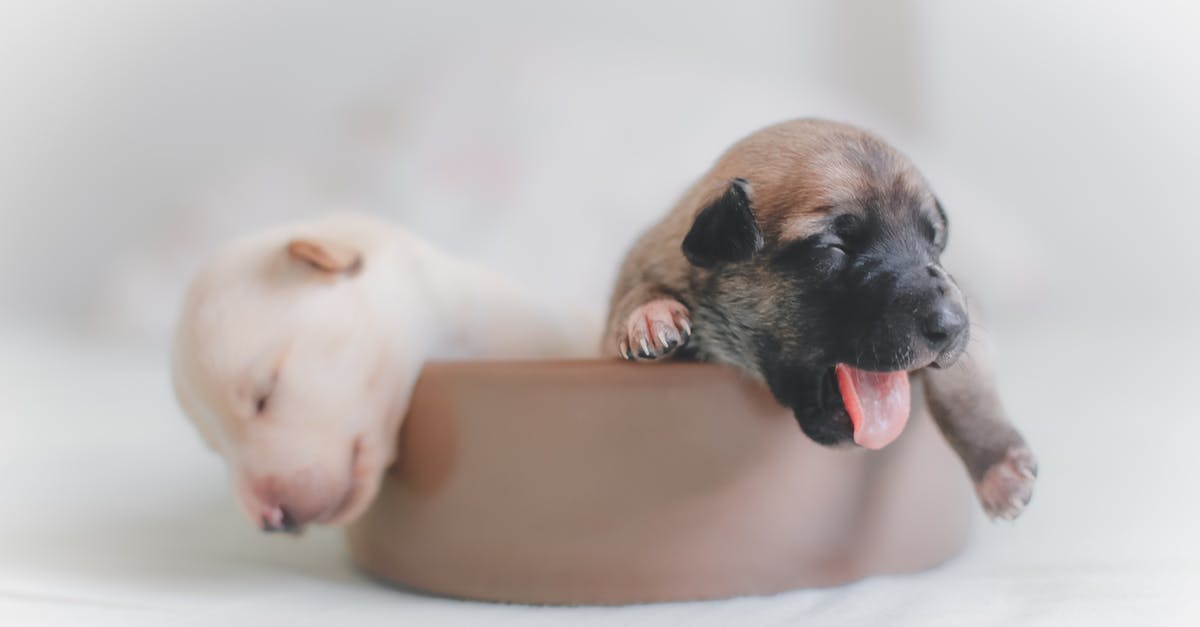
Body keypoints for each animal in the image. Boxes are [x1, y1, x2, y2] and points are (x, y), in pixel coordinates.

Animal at [609, 117, 1041, 516]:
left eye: (934, 241)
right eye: (835, 247)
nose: (952, 326)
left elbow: (964, 385)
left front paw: (998, 464)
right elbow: (633, 298)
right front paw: (649, 313)